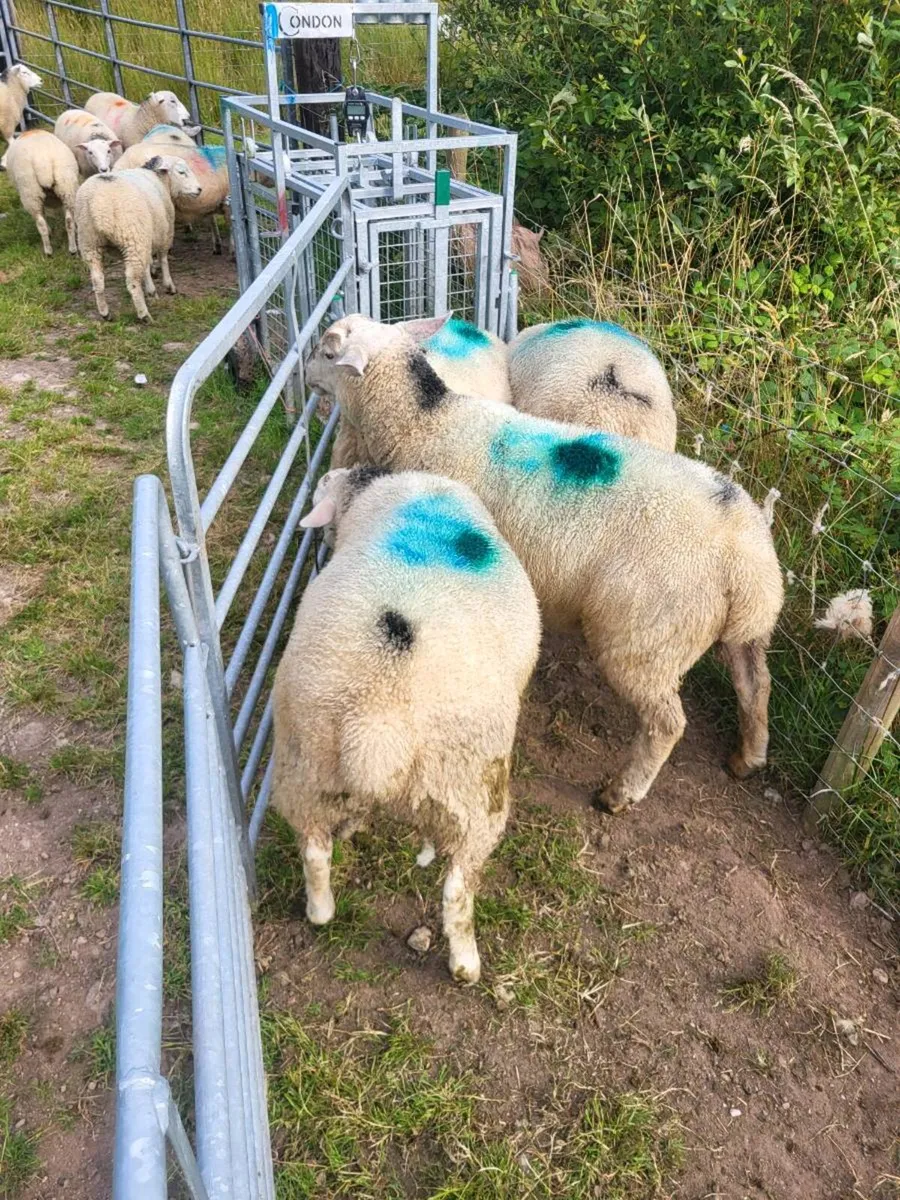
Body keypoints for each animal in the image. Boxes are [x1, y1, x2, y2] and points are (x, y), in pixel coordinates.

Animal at [75, 155, 202, 321]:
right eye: (181, 172)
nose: (199, 189)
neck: (160, 179)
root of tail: (99, 207)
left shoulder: (146, 236)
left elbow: (147, 264)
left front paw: (151, 289)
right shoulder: (164, 232)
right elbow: (163, 259)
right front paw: (168, 286)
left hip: (89, 242)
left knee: (97, 279)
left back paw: (105, 312)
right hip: (132, 237)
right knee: (132, 281)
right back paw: (144, 314)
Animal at [273, 466, 541, 983]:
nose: (324, 476)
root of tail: (377, 721)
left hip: (304, 765)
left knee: (314, 850)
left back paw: (321, 909)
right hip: (474, 788)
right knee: (457, 889)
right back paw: (465, 964)